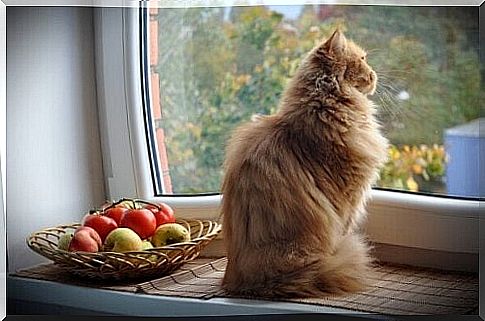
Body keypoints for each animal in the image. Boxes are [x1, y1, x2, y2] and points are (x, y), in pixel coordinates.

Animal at [220, 30, 390, 298]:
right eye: (362, 59)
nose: (374, 75)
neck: (325, 109)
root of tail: (247, 285)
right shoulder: (347, 202)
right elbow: (344, 230)